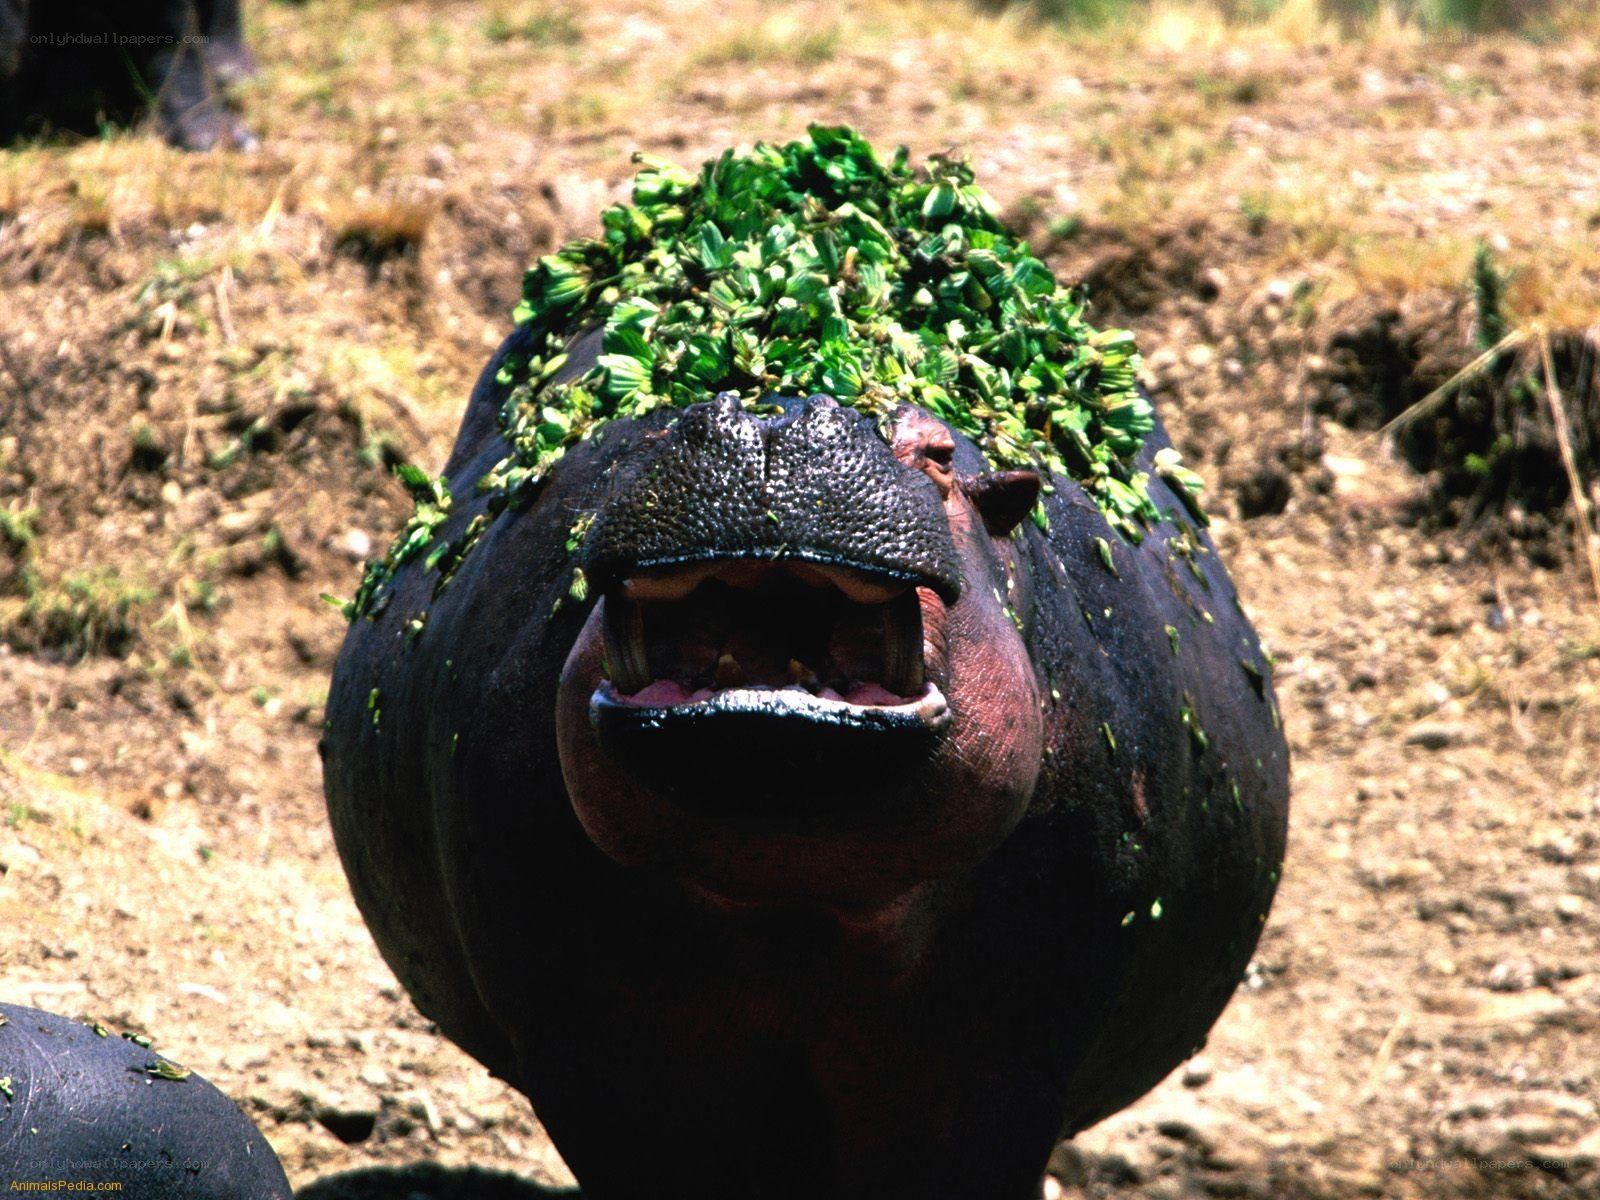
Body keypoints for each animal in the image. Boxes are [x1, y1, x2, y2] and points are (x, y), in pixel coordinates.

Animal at [323, 128, 1289, 1199]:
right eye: (651, 429)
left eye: (939, 454)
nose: (776, 416)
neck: (797, 902)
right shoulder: (600, 1059)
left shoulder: (1001, 1064)